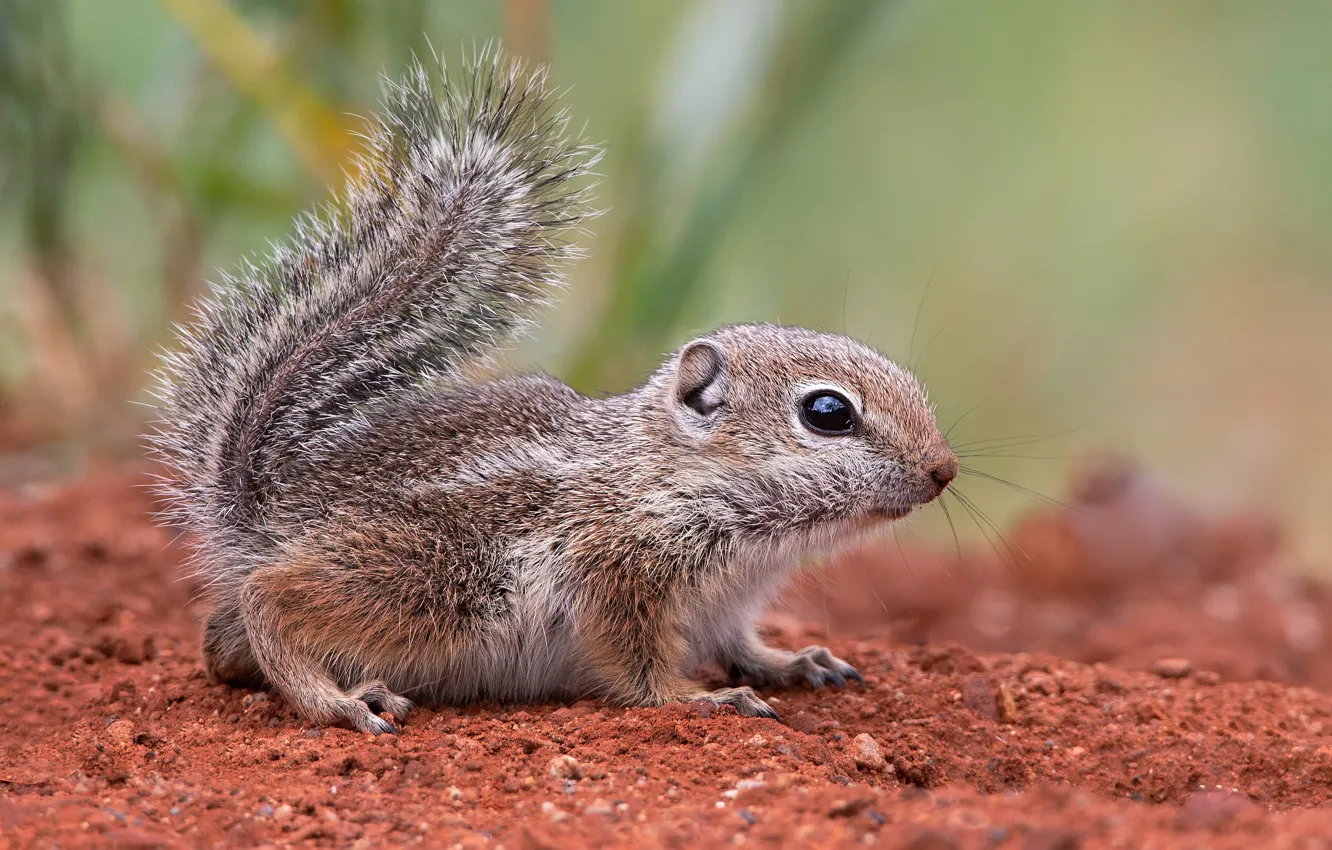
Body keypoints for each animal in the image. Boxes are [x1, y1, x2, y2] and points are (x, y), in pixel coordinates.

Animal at [147, 50, 959, 734]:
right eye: (828, 413)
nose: (944, 470)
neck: (675, 475)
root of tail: (258, 510)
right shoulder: (617, 573)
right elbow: (636, 667)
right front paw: (701, 697)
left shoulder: (726, 606)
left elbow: (742, 645)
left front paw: (792, 661)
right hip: (435, 580)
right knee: (272, 602)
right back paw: (337, 700)